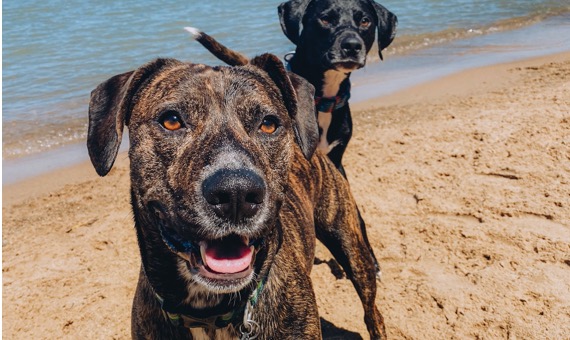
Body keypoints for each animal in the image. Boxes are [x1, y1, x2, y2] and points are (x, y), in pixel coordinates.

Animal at [86, 54, 384, 338]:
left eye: (268, 124)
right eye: (171, 120)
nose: (237, 193)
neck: (208, 314)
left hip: (350, 245)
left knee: (373, 312)